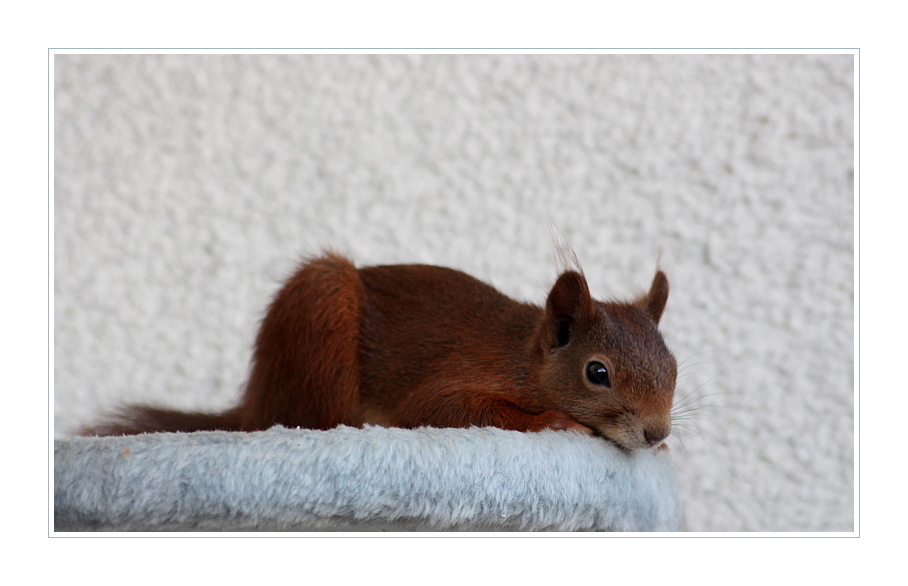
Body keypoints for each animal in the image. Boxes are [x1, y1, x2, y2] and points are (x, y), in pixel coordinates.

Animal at [90, 250, 672, 448]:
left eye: (673, 367)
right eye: (597, 373)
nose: (657, 433)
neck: (527, 359)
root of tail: (252, 405)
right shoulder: (464, 376)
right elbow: (444, 408)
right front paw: (556, 421)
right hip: (322, 317)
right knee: (310, 419)